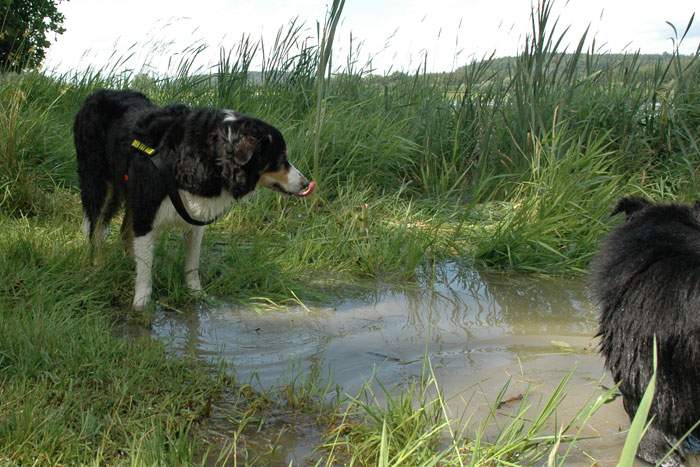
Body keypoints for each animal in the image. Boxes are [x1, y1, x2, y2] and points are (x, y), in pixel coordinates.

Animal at [74, 90, 314, 312]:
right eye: (280, 159)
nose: (306, 183)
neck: (206, 157)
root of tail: (96, 93)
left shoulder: (195, 214)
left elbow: (192, 262)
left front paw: (196, 293)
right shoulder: (146, 209)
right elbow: (145, 265)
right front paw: (141, 302)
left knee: (124, 230)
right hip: (99, 183)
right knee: (96, 229)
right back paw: (98, 267)